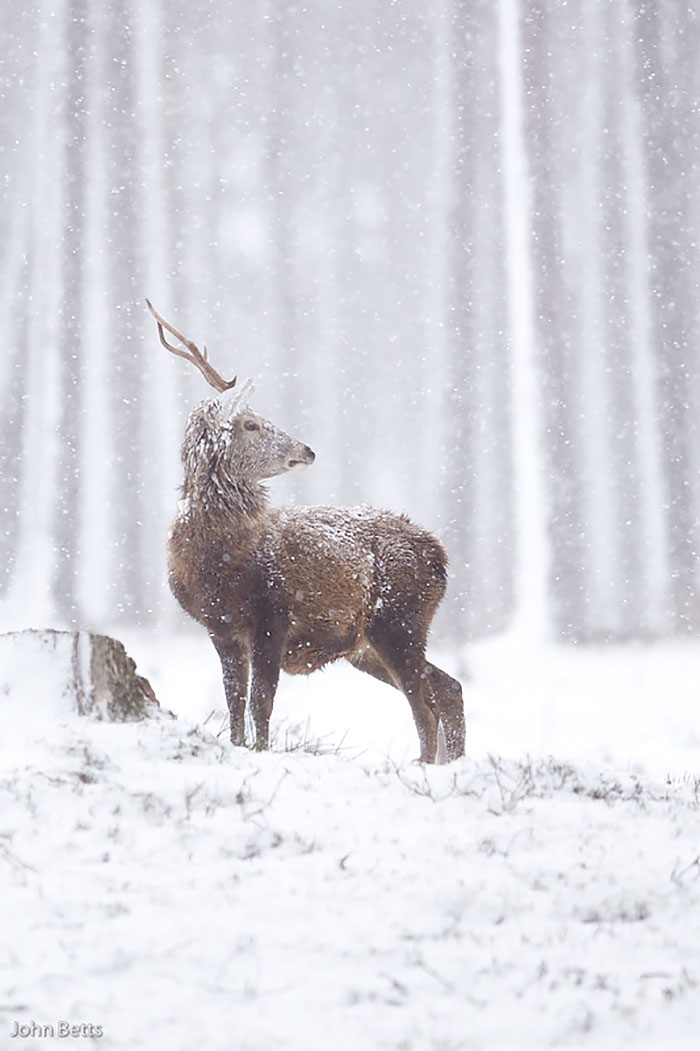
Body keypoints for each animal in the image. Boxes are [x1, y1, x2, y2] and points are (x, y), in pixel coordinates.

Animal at [146, 300, 465, 763]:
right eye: (252, 424)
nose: (308, 450)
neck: (218, 564)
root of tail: (439, 554)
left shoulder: (272, 616)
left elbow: (261, 702)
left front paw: (261, 751)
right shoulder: (220, 627)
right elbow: (234, 701)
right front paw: (239, 746)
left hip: (399, 619)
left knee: (424, 703)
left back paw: (425, 764)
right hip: (368, 644)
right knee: (447, 688)